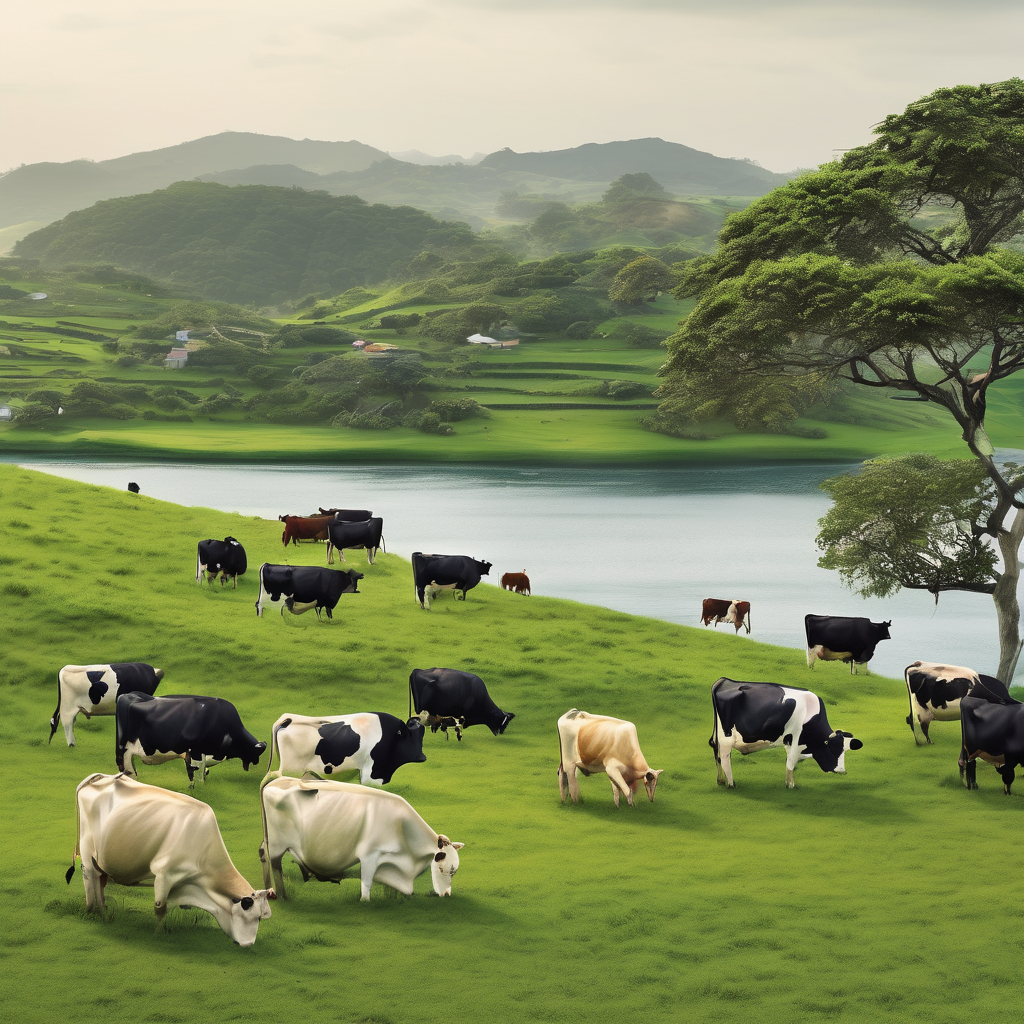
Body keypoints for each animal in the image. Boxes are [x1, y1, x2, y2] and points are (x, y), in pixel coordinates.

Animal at [67, 772, 274, 945]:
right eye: (252, 916)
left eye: (261, 917)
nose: (248, 944)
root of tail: (99, 777)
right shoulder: (164, 874)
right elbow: (161, 908)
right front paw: (157, 935)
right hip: (88, 851)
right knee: (90, 880)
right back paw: (93, 911)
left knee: (100, 881)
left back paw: (103, 910)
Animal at [116, 692, 267, 786]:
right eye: (256, 752)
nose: (257, 762)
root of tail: (128, 694)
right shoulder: (196, 751)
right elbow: (197, 775)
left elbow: (200, 772)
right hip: (124, 750)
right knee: (128, 771)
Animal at [259, 776, 464, 900]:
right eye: (441, 868)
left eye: (454, 871)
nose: (447, 894)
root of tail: (278, 781)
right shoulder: (370, 855)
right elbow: (366, 884)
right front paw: (365, 901)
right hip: (277, 844)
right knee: (275, 865)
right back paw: (283, 896)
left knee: (263, 855)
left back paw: (270, 892)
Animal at [710, 677, 863, 788]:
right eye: (833, 749)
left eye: (845, 750)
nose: (841, 771)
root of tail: (724, 681)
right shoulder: (797, 739)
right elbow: (791, 761)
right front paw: (791, 785)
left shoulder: (789, 741)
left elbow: (791, 760)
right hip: (726, 737)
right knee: (725, 758)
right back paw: (731, 784)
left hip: (717, 734)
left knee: (716, 751)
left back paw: (720, 781)